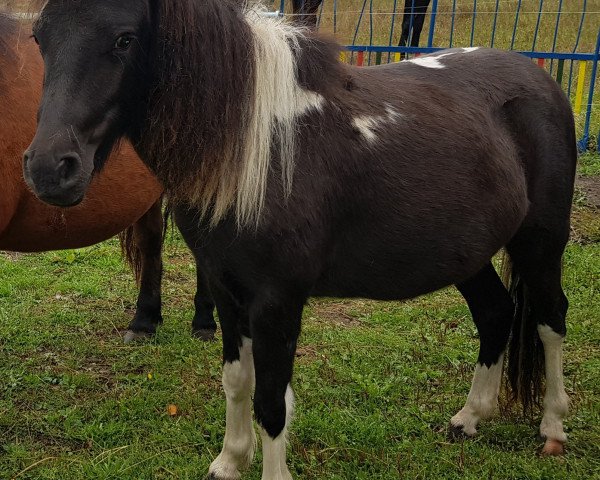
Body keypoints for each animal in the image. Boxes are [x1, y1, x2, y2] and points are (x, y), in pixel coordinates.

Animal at [24, 1, 576, 478]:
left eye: (124, 38)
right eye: (39, 37)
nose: (50, 169)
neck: (260, 148)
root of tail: (540, 79)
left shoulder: (278, 302)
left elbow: (272, 401)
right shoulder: (227, 292)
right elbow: (237, 381)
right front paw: (229, 462)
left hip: (541, 242)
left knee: (550, 319)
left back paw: (553, 427)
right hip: (467, 254)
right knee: (496, 313)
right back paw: (470, 417)